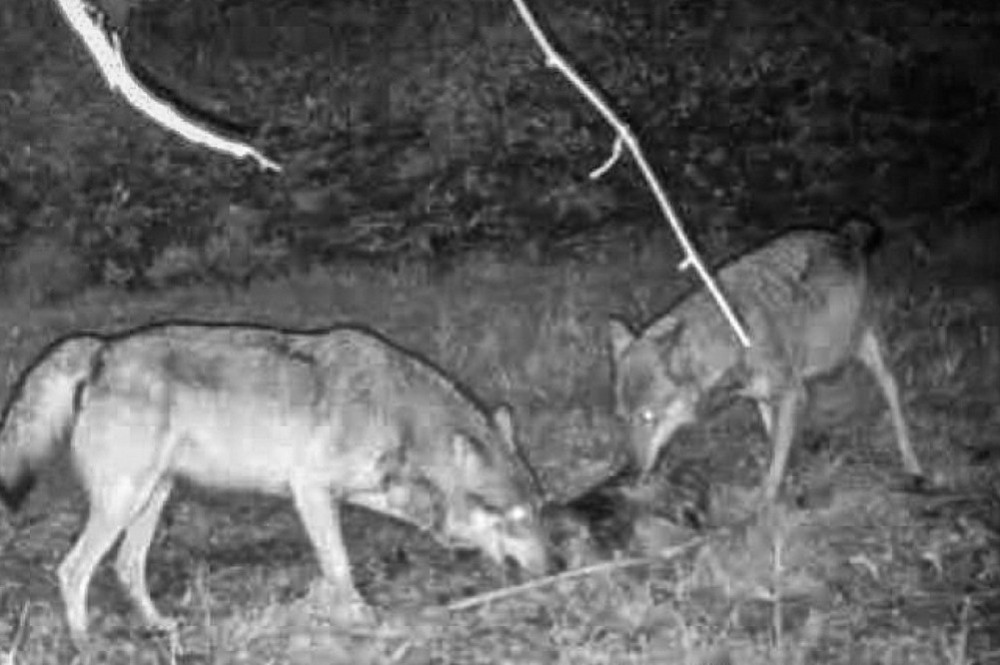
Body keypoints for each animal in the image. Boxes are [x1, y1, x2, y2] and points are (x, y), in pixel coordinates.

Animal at [0, 323, 551, 646]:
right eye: (512, 515)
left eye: (539, 510)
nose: (557, 566)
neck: (398, 415)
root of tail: (104, 349)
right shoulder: (310, 491)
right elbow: (341, 567)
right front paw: (362, 621)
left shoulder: (362, 491)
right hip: (124, 501)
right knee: (72, 570)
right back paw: (84, 643)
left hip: (153, 498)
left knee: (126, 567)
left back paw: (158, 627)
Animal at [609, 217, 924, 501]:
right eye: (622, 418)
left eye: (648, 417)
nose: (628, 474)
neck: (734, 338)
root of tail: (844, 236)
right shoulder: (764, 398)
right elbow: (776, 444)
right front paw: (792, 479)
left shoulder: (789, 394)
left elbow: (774, 465)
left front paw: (765, 508)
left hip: (867, 351)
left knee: (894, 401)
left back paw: (913, 467)